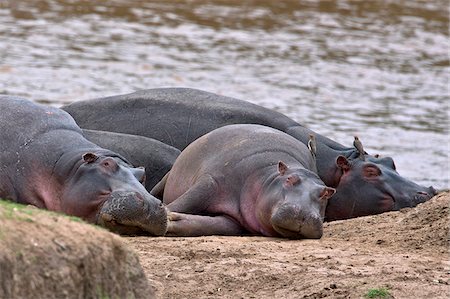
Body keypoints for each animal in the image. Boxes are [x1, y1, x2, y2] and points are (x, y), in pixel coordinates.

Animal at [153, 124, 336, 239]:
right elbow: (185, 201)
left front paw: (171, 220)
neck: (269, 176)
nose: (304, 213)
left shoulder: (234, 222)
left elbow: (207, 225)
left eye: (327, 192)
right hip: (168, 178)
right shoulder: (212, 182)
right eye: (289, 179)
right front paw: (165, 213)